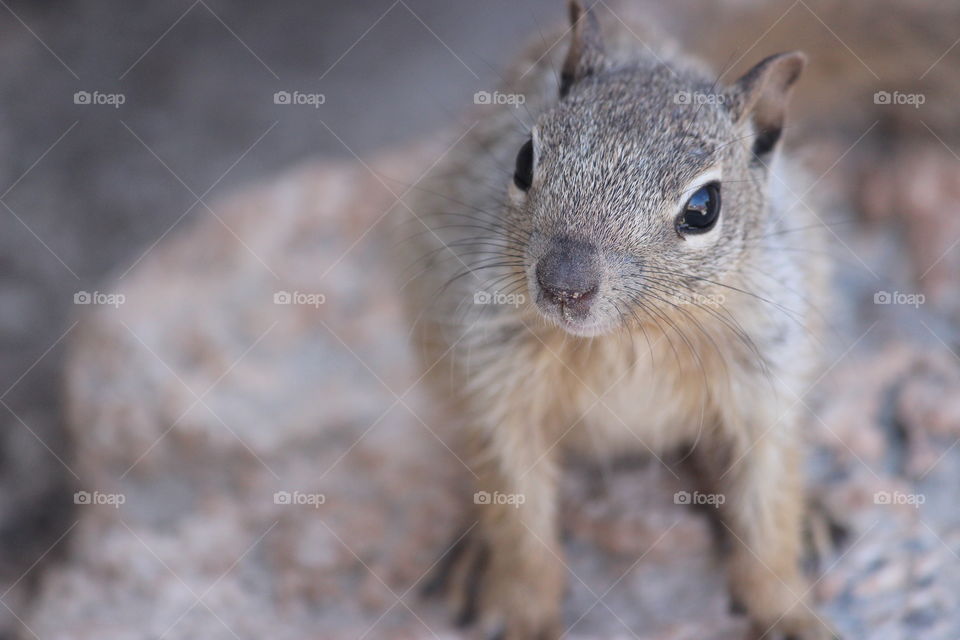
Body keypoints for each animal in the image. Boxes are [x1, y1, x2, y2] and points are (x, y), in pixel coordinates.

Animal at [400, 2, 840, 636]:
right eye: (524, 158)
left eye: (703, 208)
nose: (563, 284)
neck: (631, 336)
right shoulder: (498, 389)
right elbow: (519, 524)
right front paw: (525, 613)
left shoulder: (766, 385)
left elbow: (768, 517)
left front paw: (788, 614)